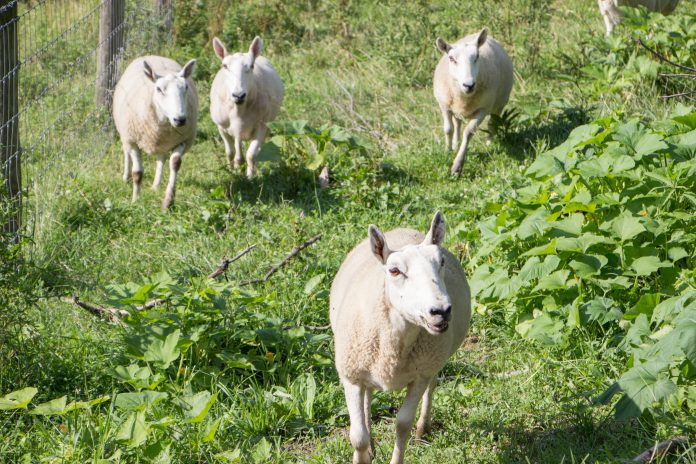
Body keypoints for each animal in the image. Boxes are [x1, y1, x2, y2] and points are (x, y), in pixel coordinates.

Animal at [111, 54, 198, 212]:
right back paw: (125, 177)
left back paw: (156, 186)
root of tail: (152, 55)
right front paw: (135, 200)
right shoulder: (132, 140)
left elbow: (175, 163)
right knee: (125, 152)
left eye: (186, 87)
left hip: (163, 143)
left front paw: (168, 202)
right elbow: (137, 173)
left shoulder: (183, 141)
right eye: (158, 89)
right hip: (124, 132)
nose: (180, 119)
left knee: (161, 158)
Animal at [209, 35, 282, 178]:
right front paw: (232, 172)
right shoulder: (222, 127)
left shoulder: (261, 126)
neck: (239, 110)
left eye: (252, 66)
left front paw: (250, 177)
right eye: (225, 66)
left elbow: (251, 155)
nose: (239, 95)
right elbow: (230, 153)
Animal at [328, 211, 470, 464]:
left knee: (432, 385)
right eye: (394, 270)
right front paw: (363, 452)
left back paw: (422, 429)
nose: (441, 311)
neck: (394, 348)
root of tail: (405, 230)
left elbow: (402, 425)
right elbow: (357, 436)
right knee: (368, 398)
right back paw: (371, 445)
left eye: (441, 262)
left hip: (433, 359)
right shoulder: (350, 375)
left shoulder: (420, 374)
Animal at [432, 27, 512, 176]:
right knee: (457, 123)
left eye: (477, 57)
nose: (469, 85)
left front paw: (457, 166)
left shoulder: (482, 109)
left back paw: (489, 143)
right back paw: (456, 143)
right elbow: (448, 129)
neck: (463, 97)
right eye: (451, 58)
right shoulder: (444, 105)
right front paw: (448, 150)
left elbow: (469, 132)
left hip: (498, 105)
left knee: (493, 123)